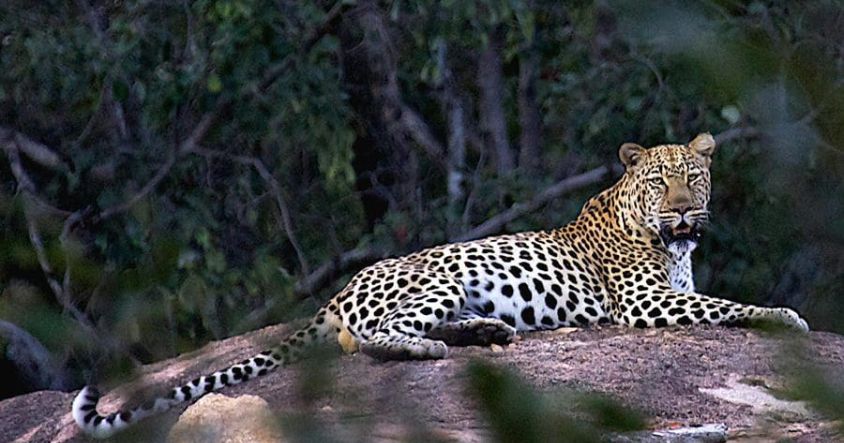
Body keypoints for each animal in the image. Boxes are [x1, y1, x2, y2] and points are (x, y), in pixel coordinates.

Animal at [73, 132, 808, 438]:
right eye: (661, 181)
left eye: (696, 178)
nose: (684, 213)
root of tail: (338, 290)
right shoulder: (642, 301)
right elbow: (724, 304)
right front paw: (785, 315)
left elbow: (715, 299)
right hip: (439, 275)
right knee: (369, 336)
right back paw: (432, 347)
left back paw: (485, 332)